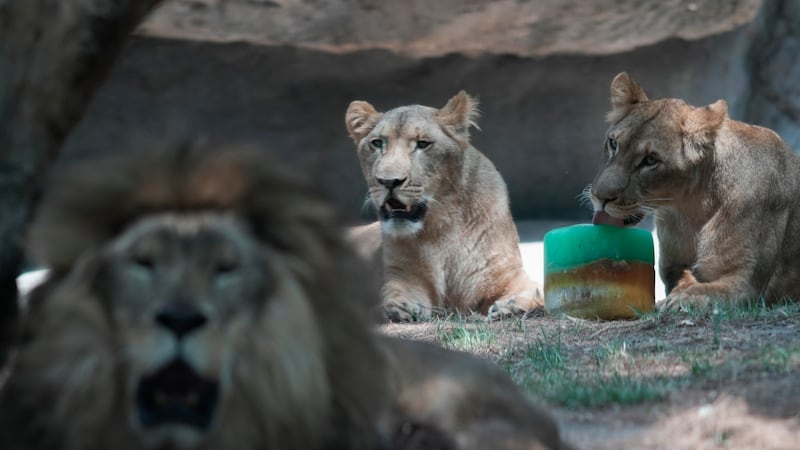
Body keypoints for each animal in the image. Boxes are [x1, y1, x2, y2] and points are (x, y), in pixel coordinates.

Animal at [345, 92, 543, 321]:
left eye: (423, 144)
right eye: (377, 143)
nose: (388, 181)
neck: (440, 229)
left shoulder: (508, 274)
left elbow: (535, 290)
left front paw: (512, 306)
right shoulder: (401, 273)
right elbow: (395, 290)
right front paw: (400, 306)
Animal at [588, 72, 800, 310]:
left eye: (650, 160)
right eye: (613, 143)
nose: (599, 197)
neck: (692, 206)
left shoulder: (747, 283)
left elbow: (710, 290)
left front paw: (682, 299)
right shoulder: (672, 264)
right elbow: (682, 278)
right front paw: (677, 294)